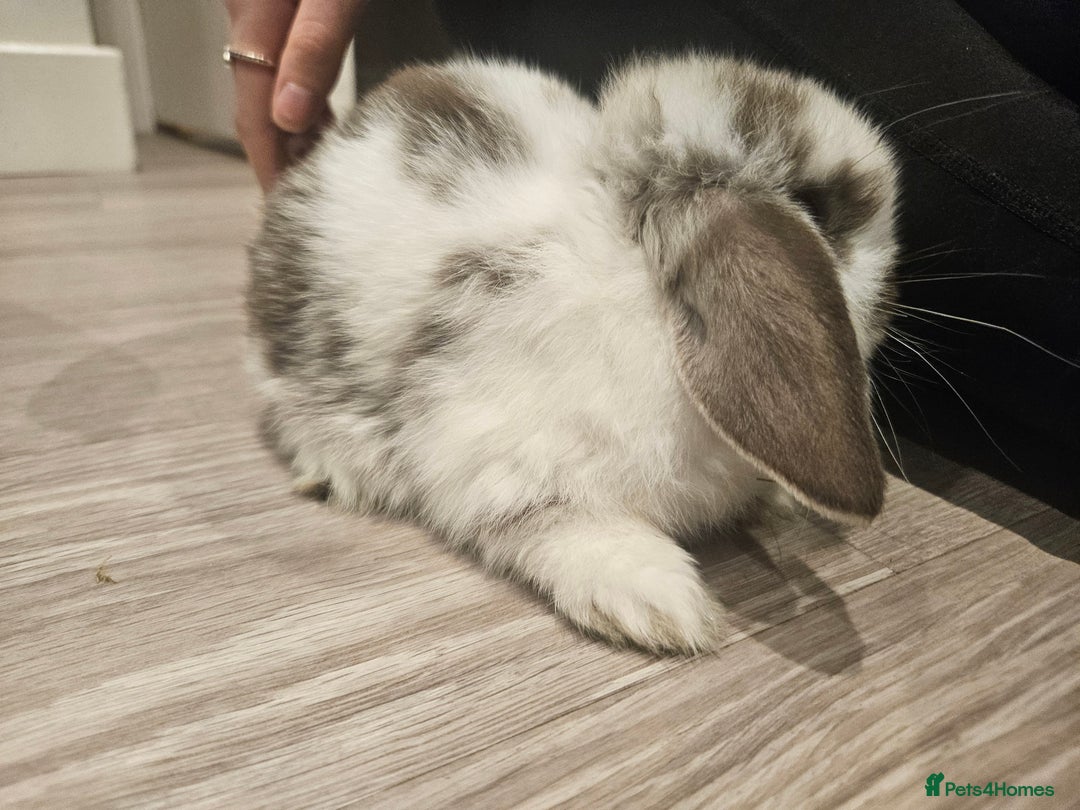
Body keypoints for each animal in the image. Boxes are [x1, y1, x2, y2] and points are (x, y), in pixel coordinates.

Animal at [246, 53, 900, 654]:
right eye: (817, 207)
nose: (892, 300)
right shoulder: (495, 457)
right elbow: (562, 525)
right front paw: (662, 604)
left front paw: (772, 502)